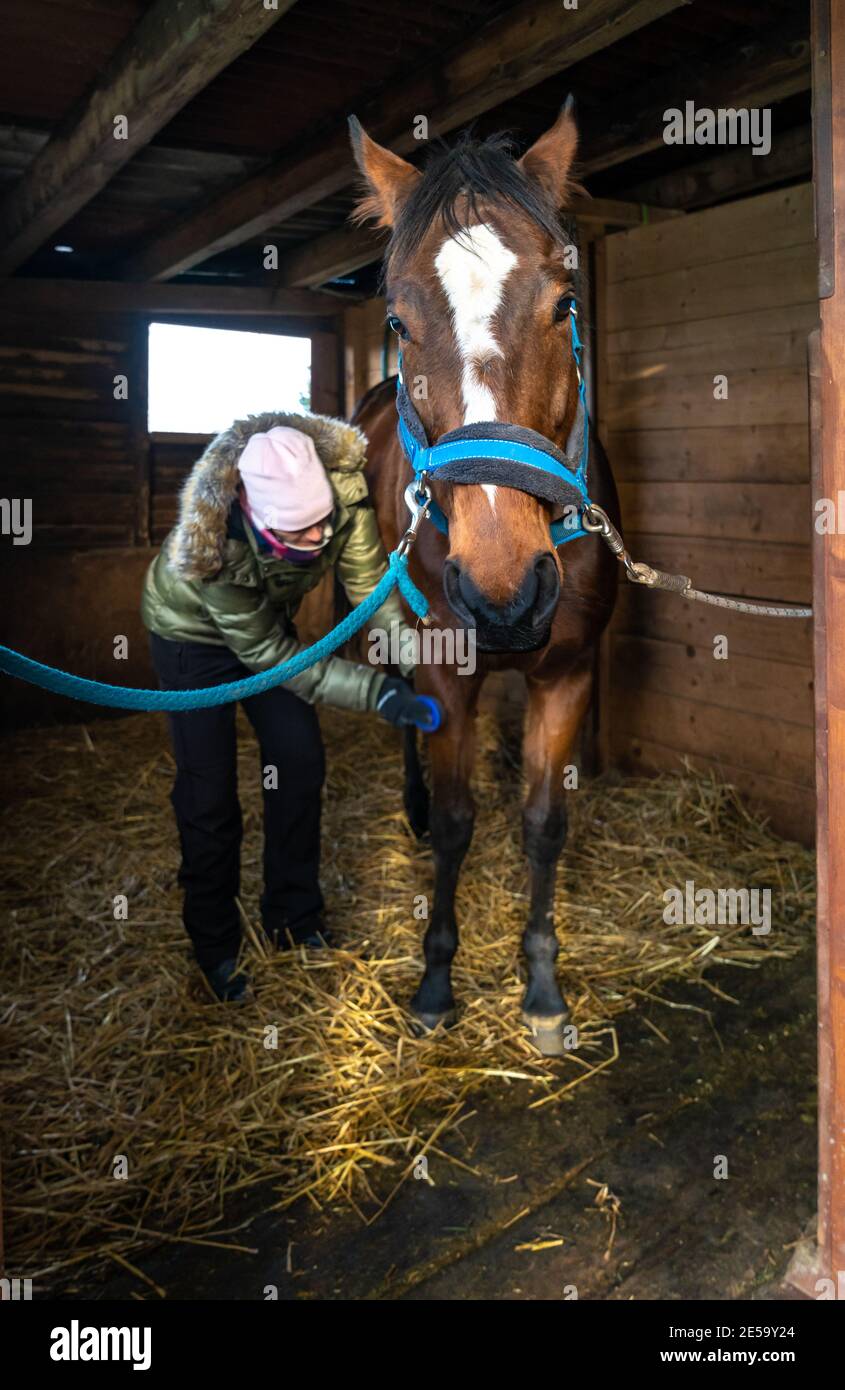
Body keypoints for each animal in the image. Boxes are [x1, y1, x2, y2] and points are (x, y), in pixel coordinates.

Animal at [349, 105, 620, 1054]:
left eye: (566, 303)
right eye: (397, 322)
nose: (503, 590)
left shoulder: (567, 674)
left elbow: (542, 823)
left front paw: (540, 986)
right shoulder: (445, 672)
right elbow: (459, 822)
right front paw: (436, 982)